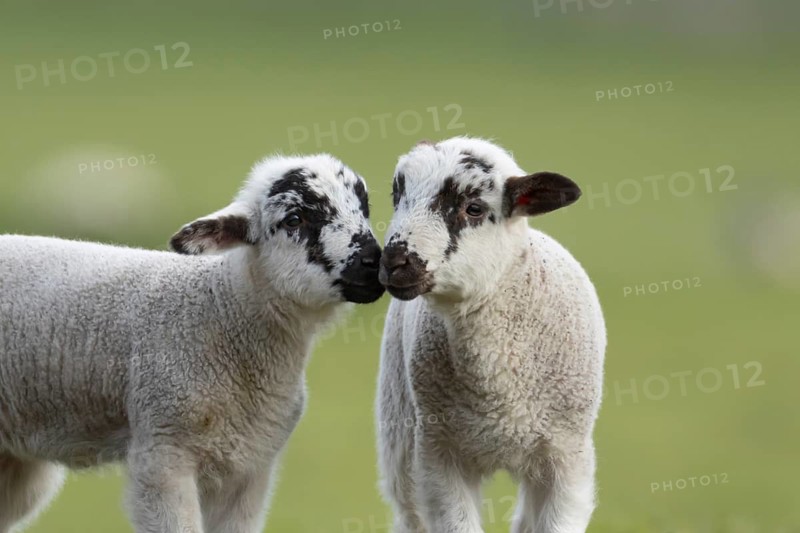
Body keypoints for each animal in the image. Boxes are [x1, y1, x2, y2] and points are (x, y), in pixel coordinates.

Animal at [0, 153, 385, 533]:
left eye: (364, 208)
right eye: (295, 219)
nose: (373, 262)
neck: (222, 310)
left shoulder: (251, 467)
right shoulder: (163, 452)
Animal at [376, 137, 606, 533]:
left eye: (474, 208)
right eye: (397, 196)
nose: (393, 262)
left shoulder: (568, 458)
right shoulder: (438, 456)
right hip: (400, 434)